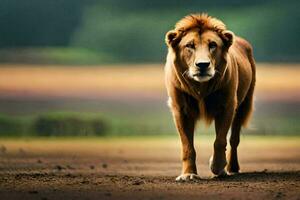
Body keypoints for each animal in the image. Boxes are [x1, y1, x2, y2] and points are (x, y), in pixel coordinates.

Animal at [164, 13, 255, 180]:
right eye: (189, 46)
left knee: (234, 139)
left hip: (244, 104)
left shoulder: (227, 106)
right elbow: (187, 146)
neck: (201, 87)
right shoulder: (180, 109)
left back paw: (231, 168)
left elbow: (220, 141)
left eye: (213, 45)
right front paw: (188, 174)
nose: (202, 65)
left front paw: (217, 167)